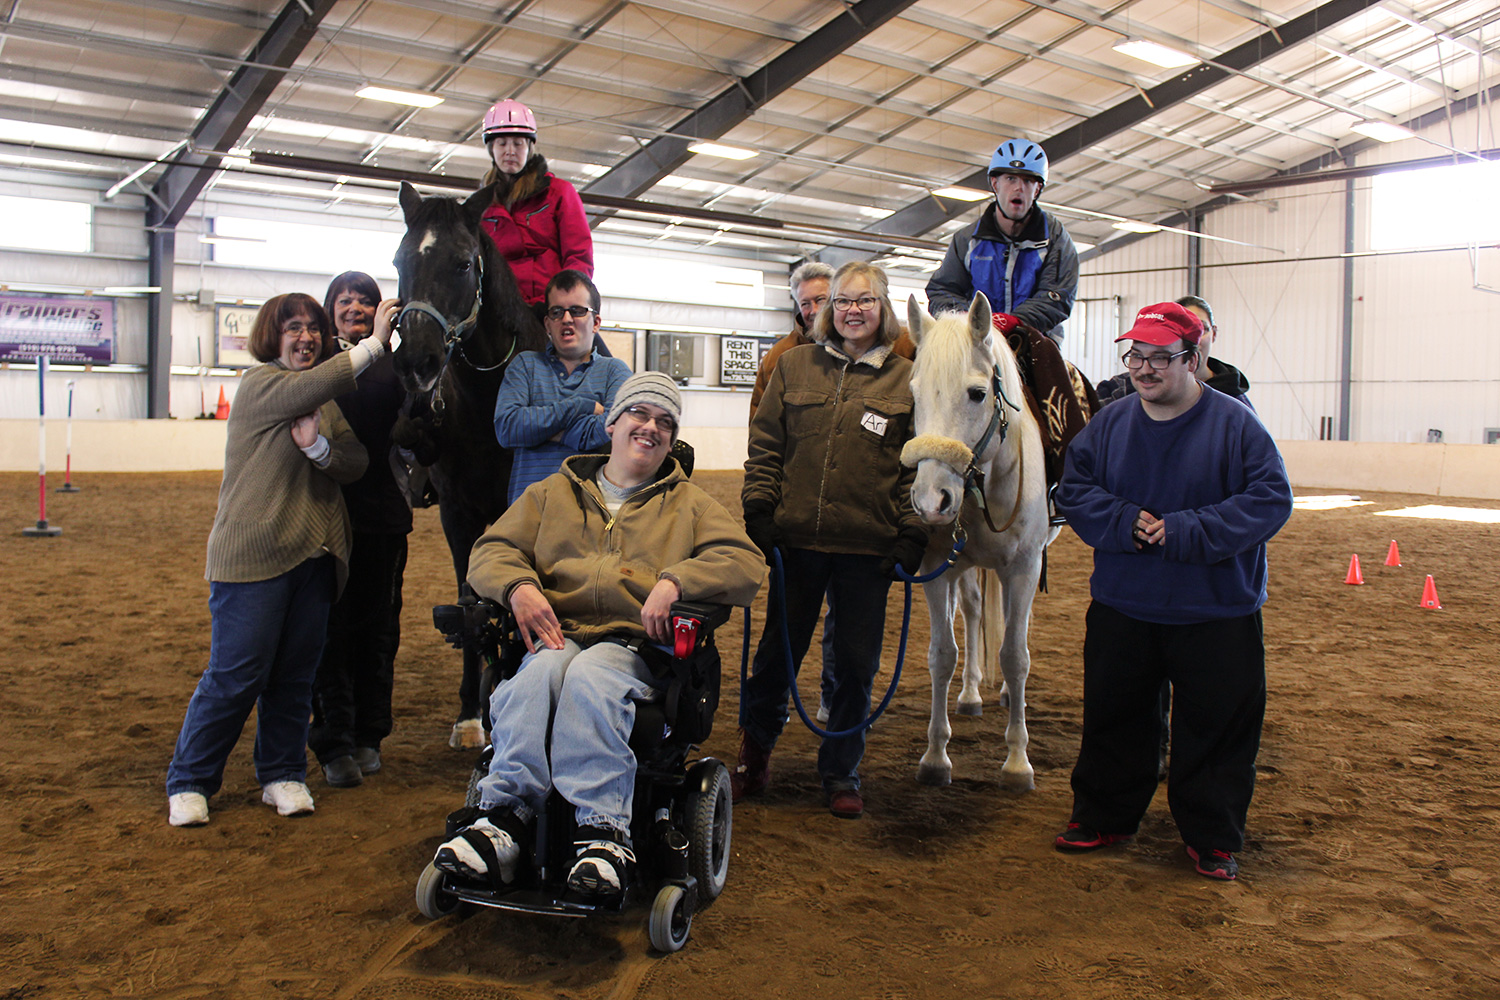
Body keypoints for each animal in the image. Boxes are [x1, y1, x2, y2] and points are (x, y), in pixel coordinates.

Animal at [390, 180, 547, 749]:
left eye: (462, 264)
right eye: (400, 261)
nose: (416, 362)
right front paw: (468, 714)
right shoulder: (456, 515)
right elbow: (468, 601)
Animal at [901, 292, 1059, 790]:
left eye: (976, 393)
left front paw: (1017, 762)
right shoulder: (936, 565)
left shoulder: (1025, 567)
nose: (931, 500)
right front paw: (936, 756)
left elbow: (1014, 654)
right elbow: (942, 654)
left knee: (1011, 628)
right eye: (914, 394)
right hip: (965, 566)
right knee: (971, 613)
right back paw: (971, 693)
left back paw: (1007, 695)